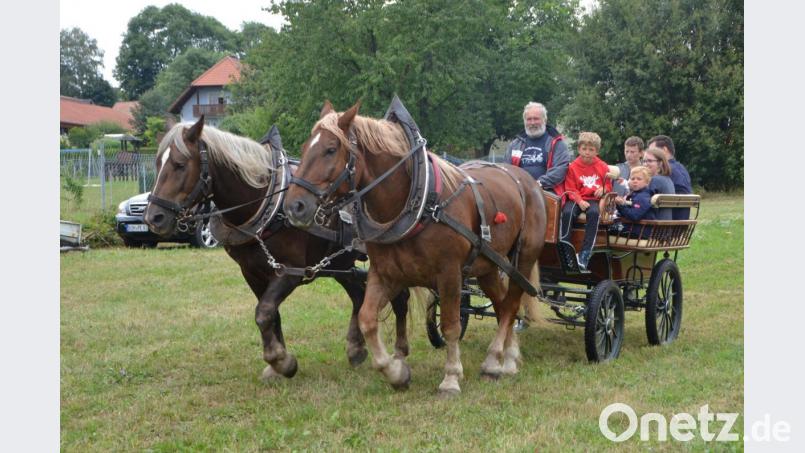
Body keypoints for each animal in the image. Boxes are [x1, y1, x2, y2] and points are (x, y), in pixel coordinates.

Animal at [143, 116, 410, 382]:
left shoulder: (290, 271)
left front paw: (281, 361)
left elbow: (264, 312)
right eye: (157, 162)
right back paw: (356, 348)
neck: (267, 201)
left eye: (179, 164)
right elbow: (272, 314)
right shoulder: (251, 272)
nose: (153, 218)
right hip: (340, 264)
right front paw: (277, 363)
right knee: (359, 296)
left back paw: (397, 352)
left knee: (397, 297)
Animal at [284, 100, 546, 395]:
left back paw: (497, 360)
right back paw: (504, 358)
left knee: (511, 305)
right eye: (304, 148)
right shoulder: (385, 274)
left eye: (331, 149)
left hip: (522, 260)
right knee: (503, 307)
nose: (294, 206)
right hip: (488, 265)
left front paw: (451, 377)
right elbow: (367, 318)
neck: (420, 204)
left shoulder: (450, 274)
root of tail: (527, 180)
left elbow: (451, 325)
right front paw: (396, 372)